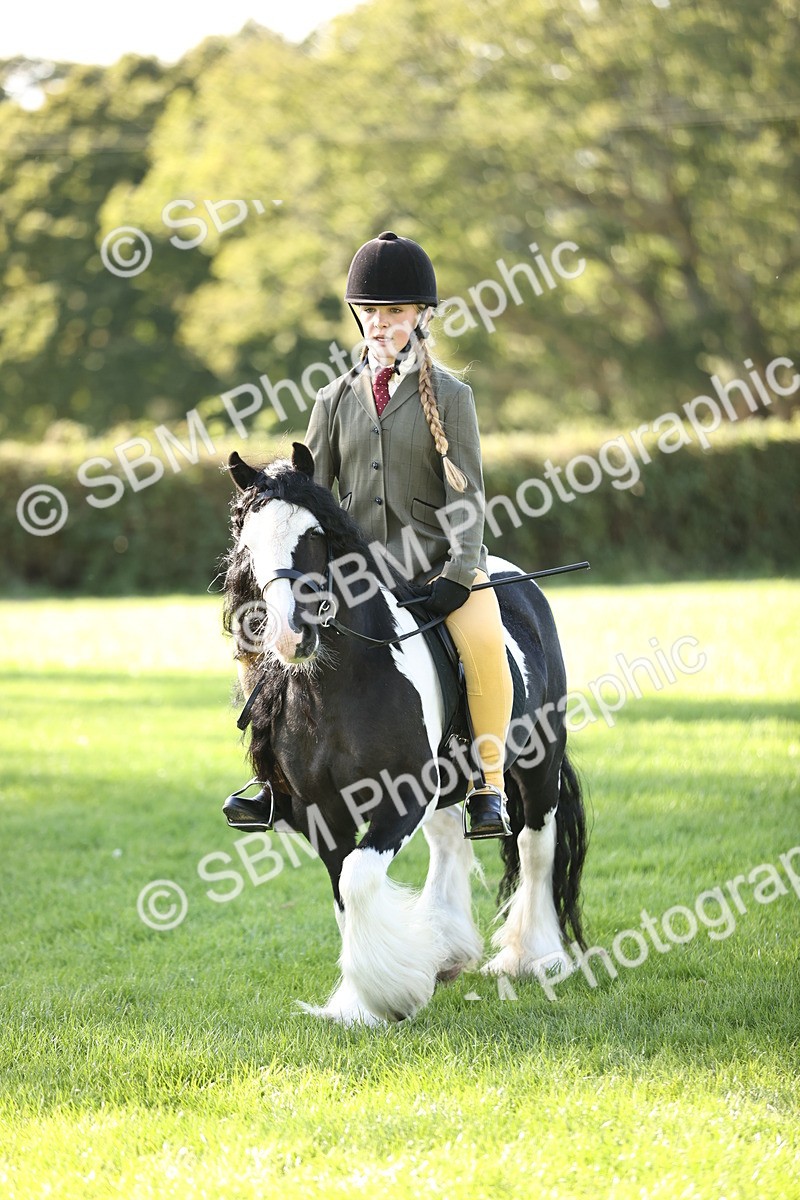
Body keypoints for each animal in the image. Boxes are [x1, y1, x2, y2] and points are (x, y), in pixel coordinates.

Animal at [221, 442, 587, 1025]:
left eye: (314, 535)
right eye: (248, 543)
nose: (290, 635)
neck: (338, 683)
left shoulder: (403, 795)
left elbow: (358, 878)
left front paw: (390, 996)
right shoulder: (322, 811)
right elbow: (343, 890)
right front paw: (360, 1003)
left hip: (539, 761)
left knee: (536, 845)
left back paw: (534, 957)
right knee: (450, 841)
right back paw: (448, 949)